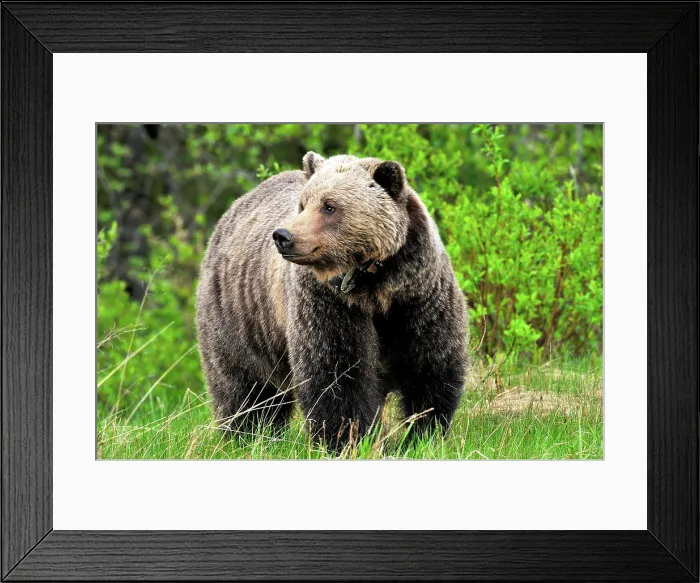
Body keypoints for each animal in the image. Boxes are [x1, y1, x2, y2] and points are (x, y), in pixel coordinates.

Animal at [195, 151, 468, 451]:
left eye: (329, 206)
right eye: (303, 204)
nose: (283, 236)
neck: (374, 286)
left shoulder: (417, 298)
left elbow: (429, 369)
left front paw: (422, 435)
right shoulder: (329, 303)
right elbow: (336, 374)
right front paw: (348, 440)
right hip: (239, 318)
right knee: (246, 389)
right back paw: (248, 436)